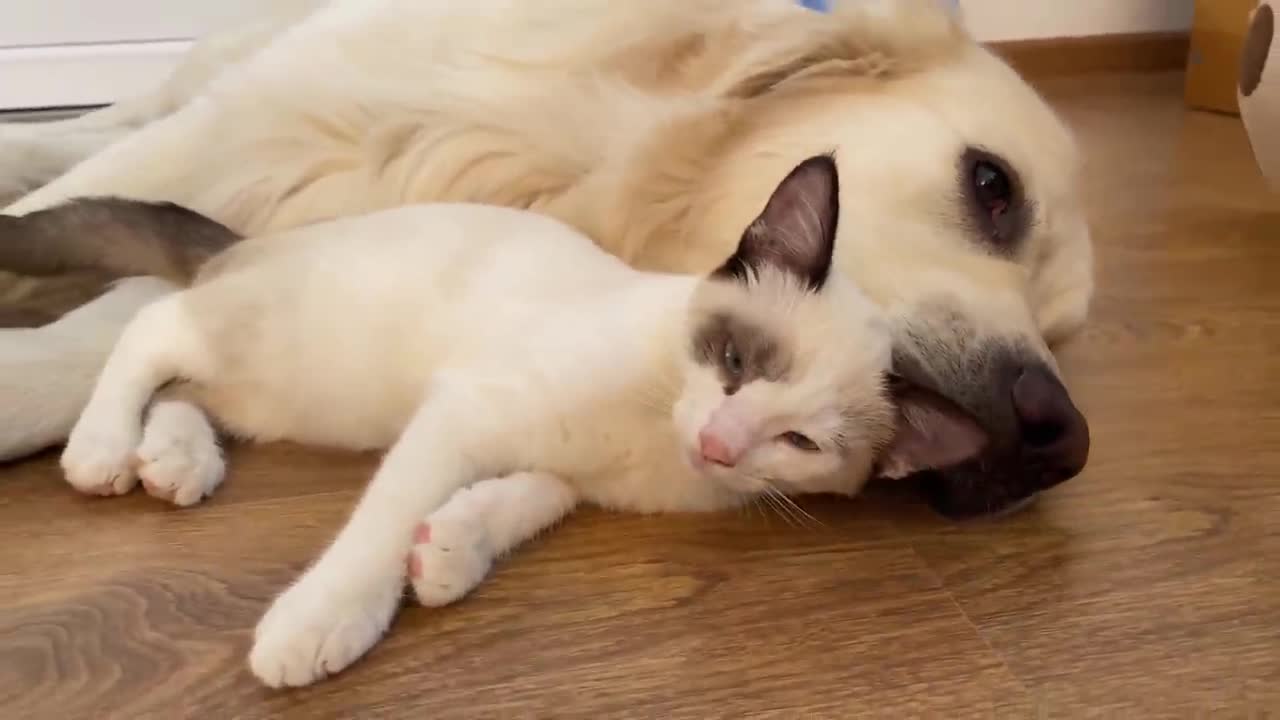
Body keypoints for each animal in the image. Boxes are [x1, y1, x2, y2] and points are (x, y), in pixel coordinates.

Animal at [0, 0, 1090, 515]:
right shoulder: (270, 143)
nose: (1061, 443)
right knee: (105, 132)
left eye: (1066, 334)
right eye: (991, 186)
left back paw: (175, 443)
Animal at [60, 155, 977, 681]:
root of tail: (247, 240)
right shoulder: (468, 410)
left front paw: (449, 553)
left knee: (186, 387)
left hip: (287, 395)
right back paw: (102, 449)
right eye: (734, 363)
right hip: (288, 354)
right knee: (151, 327)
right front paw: (324, 620)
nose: (719, 446)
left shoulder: (571, 471)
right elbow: (382, 526)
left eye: (799, 441)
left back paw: (175, 460)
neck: (647, 436)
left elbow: (528, 500)